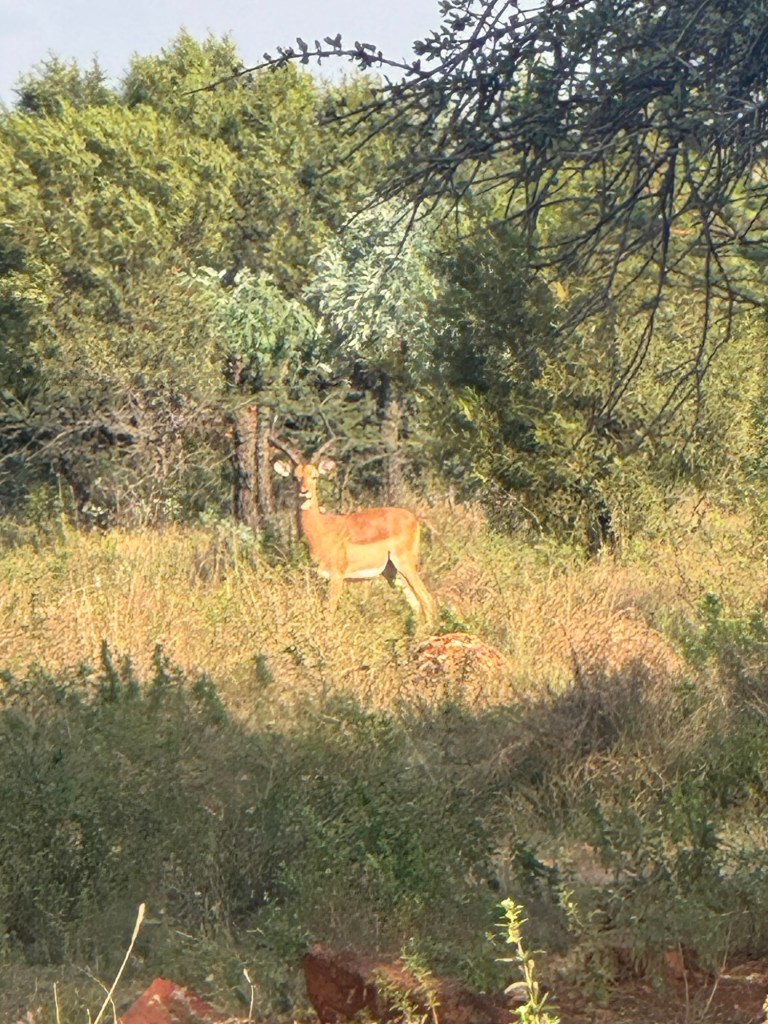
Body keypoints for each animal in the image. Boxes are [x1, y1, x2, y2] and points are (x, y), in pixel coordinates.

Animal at [270, 436, 435, 620]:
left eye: (315, 476)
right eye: (295, 477)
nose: (304, 492)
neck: (321, 530)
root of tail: (414, 518)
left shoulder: (336, 577)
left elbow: (329, 614)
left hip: (405, 564)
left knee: (427, 600)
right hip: (392, 572)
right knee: (415, 604)